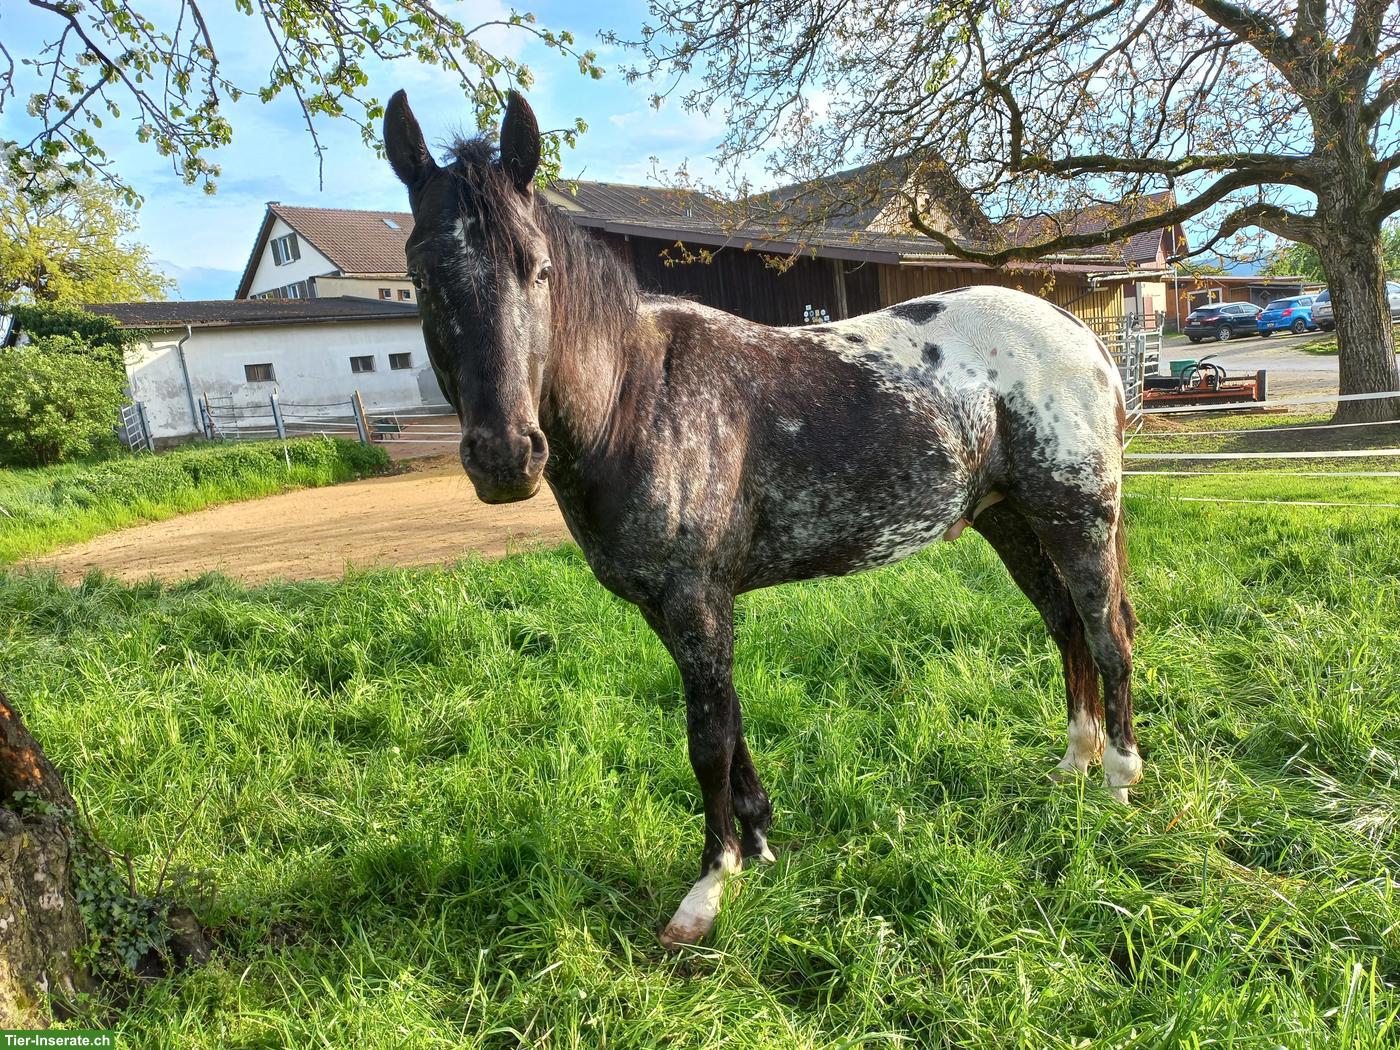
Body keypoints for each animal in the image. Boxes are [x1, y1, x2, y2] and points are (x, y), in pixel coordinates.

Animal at [383, 89, 1141, 949]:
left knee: (1107, 630)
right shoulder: (672, 609)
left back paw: (1117, 781)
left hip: (1078, 516)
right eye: (420, 274)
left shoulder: (696, 600)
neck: (637, 398)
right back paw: (1074, 763)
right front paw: (759, 845)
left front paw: (709, 889)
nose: (505, 455)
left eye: (536, 267)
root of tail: (1082, 335)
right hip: (1010, 521)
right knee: (1065, 625)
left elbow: (708, 741)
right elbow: (732, 723)